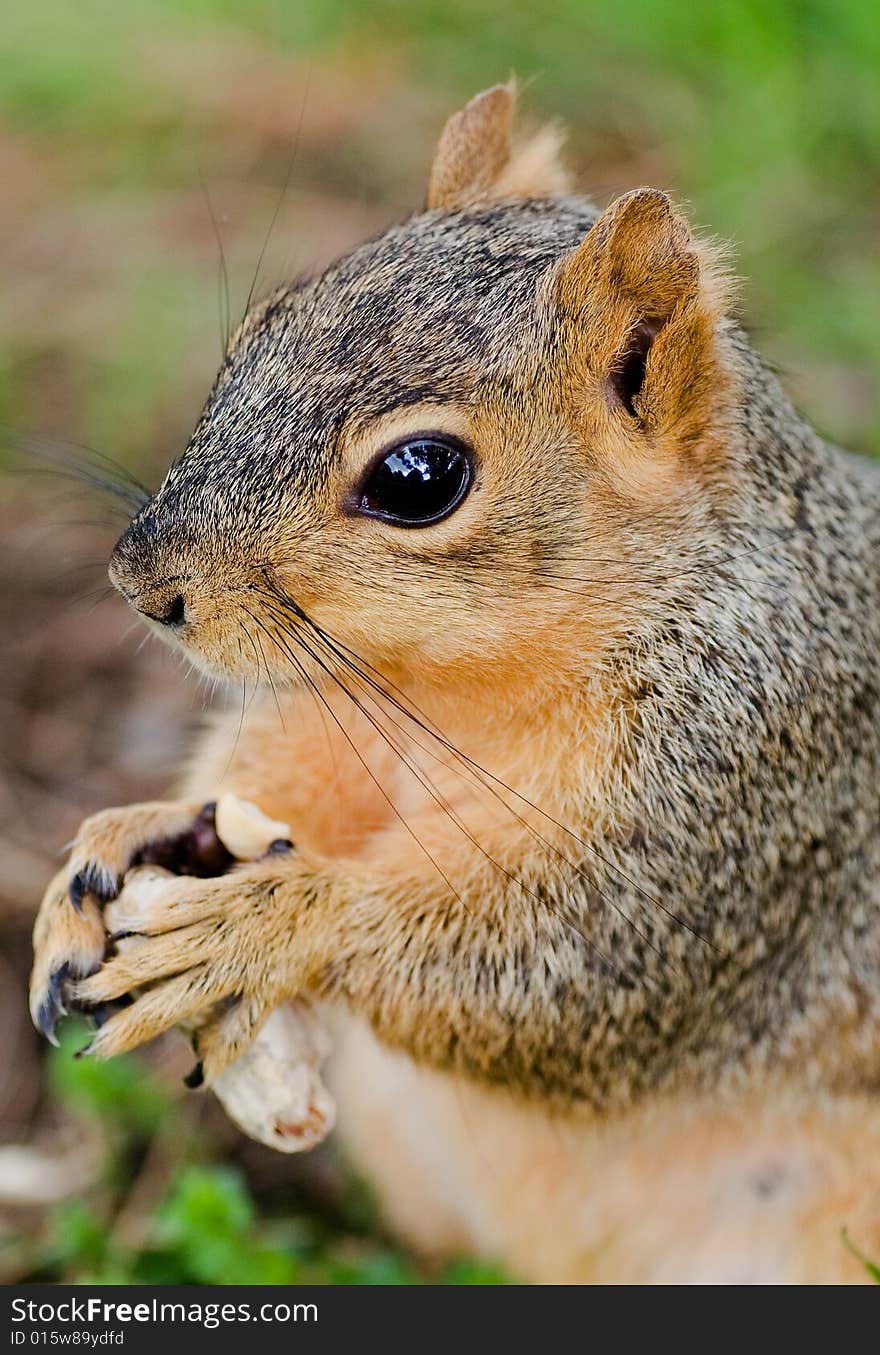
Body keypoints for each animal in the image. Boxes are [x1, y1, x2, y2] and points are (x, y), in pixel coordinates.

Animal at [25, 84, 878, 1279]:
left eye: (419, 477)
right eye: (258, 329)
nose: (143, 584)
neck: (445, 693)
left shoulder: (739, 799)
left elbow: (559, 974)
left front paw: (277, 921)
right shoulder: (334, 722)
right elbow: (267, 784)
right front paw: (111, 846)